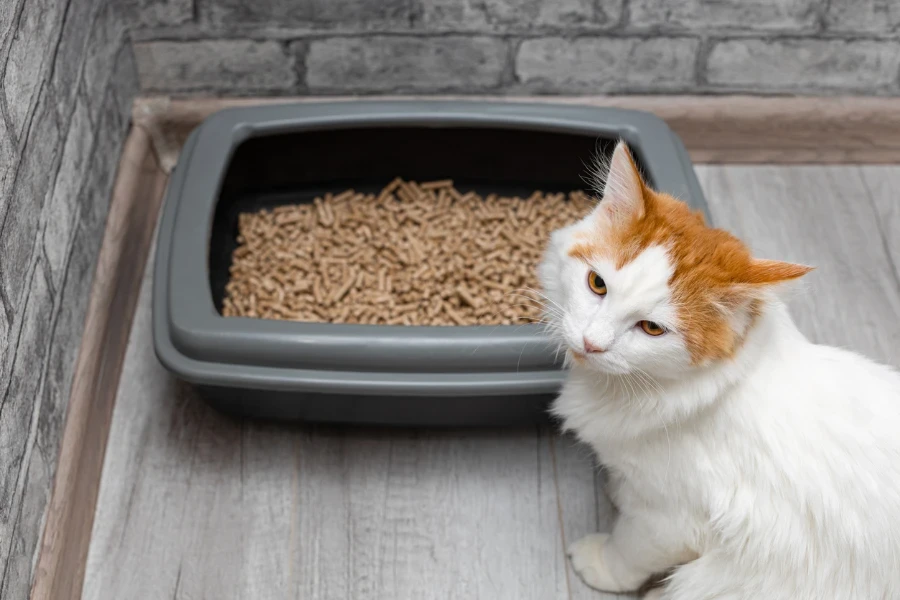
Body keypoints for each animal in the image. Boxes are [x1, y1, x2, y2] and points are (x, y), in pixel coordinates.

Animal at [536, 142, 900, 600]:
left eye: (651, 328)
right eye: (597, 284)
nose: (591, 343)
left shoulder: (671, 519)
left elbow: (629, 550)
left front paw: (600, 565)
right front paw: (618, 490)